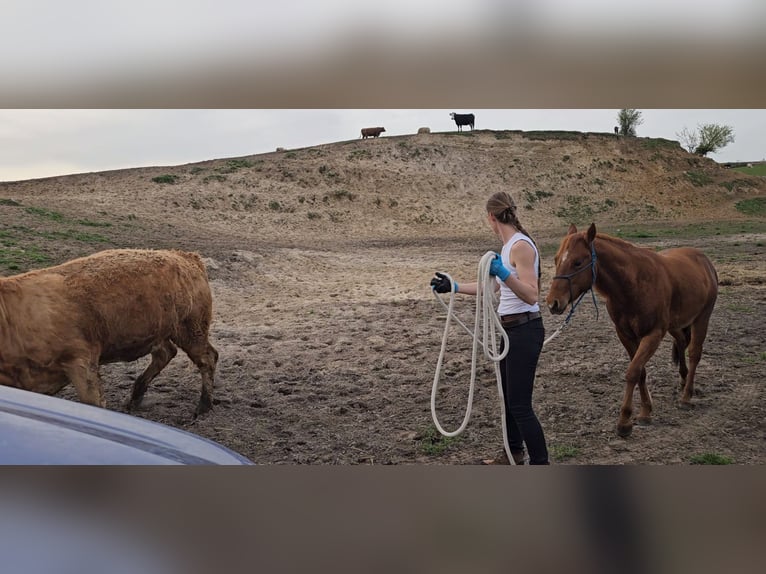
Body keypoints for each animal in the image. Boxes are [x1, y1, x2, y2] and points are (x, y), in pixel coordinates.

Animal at [0, 249, 219, 418]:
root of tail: (186, 257)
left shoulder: (81, 362)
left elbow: (93, 402)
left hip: (190, 331)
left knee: (207, 358)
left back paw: (203, 406)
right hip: (162, 332)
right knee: (166, 353)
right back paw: (134, 397)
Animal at [544, 223, 720, 438]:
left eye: (577, 262)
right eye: (556, 259)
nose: (553, 303)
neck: (633, 285)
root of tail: (703, 260)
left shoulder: (652, 335)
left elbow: (633, 372)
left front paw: (625, 421)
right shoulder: (625, 335)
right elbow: (641, 372)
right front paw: (645, 411)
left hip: (702, 318)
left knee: (694, 353)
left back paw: (687, 396)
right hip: (676, 325)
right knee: (680, 342)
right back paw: (683, 380)